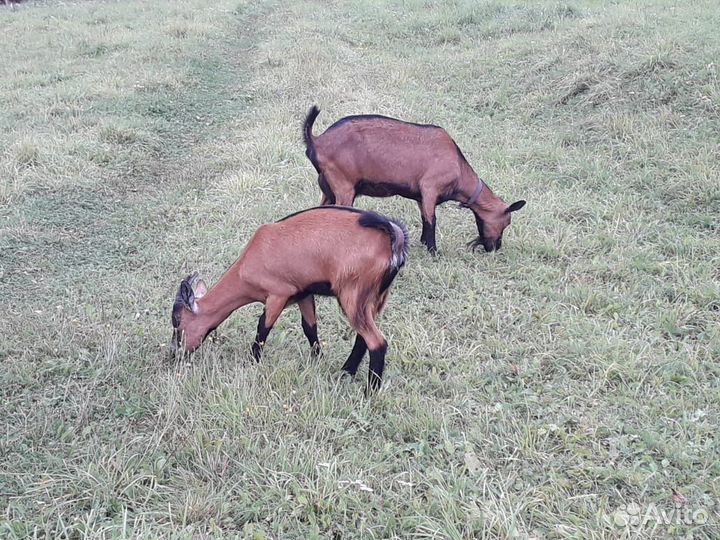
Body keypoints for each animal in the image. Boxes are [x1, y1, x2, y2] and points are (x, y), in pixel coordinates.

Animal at [170, 206, 409, 392]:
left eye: (177, 321)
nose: (174, 355)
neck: (247, 266)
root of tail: (393, 237)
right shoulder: (303, 294)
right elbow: (309, 328)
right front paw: (317, 360)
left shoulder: (277, 294)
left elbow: (262, 328)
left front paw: (252, 362)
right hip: (375, 298)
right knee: (363, 337)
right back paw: (346, 372)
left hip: (353, 294)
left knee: (377, 342)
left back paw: (370, 392)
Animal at [303, 106, 526, 254]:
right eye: (506, 222)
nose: (494, 247)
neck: (459, 168)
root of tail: (317, 141)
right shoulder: (430, 188)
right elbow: (431, 220)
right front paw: (434, 252)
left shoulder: (420, 196)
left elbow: (424, 218)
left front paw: (424, 243)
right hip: (344, 187)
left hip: (328, 188)